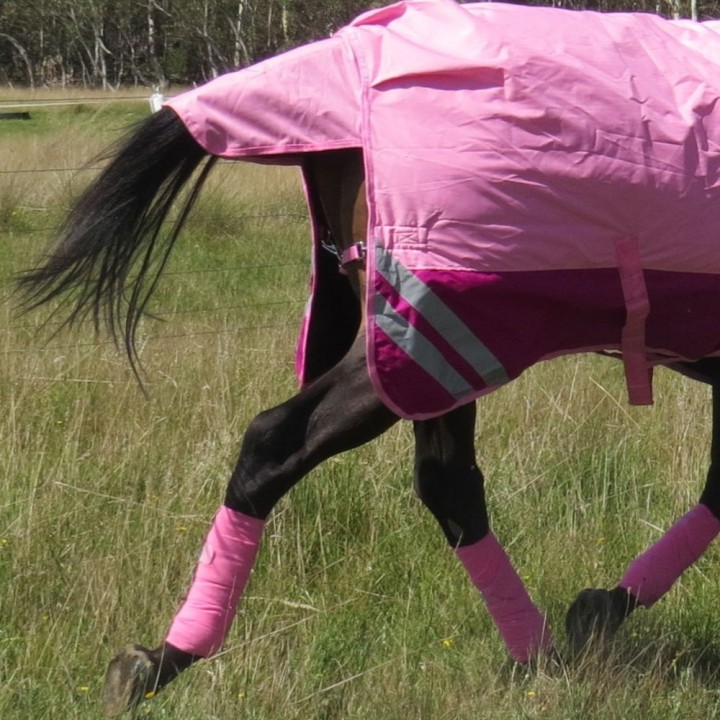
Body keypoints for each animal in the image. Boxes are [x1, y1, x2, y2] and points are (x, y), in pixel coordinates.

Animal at [17, 1, 720, 714]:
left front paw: (604, 606)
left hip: (433, 358)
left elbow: (716, 489)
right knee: (282, 444)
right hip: (423, 338)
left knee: (442, 483)